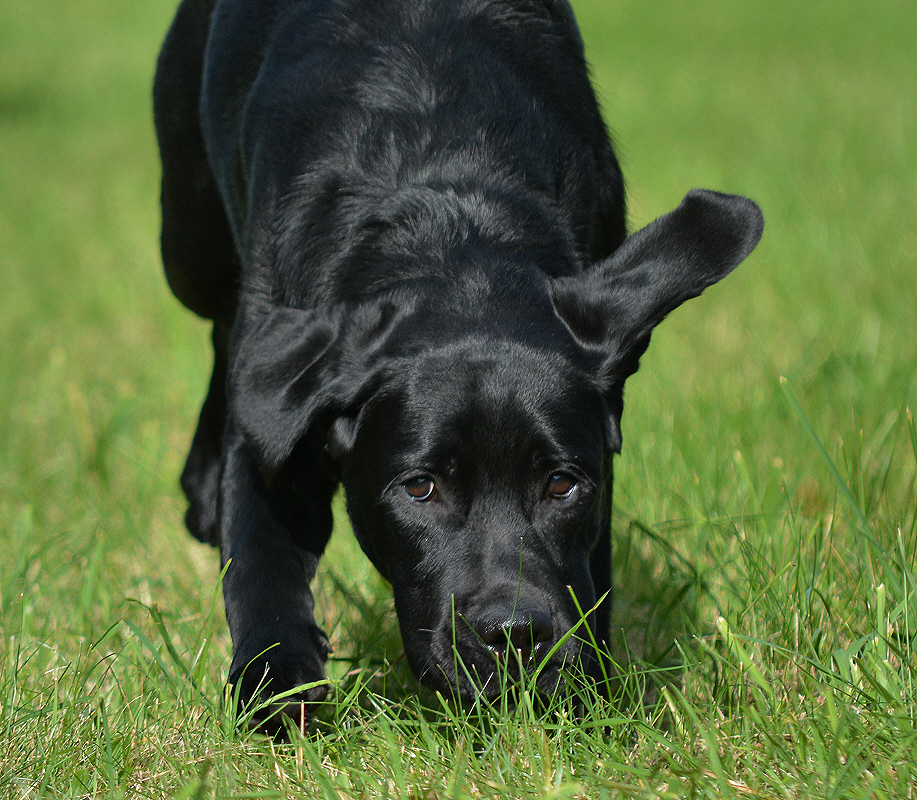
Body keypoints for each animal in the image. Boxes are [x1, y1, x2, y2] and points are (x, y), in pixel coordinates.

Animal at [154, 0, 764, 728]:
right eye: (420, 488)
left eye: (562, 484)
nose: (514, 636)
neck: (446, 222)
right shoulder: (283, 407)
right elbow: (259, 563)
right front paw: (277, 690)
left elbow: (592, 578)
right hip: (189, 246)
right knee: (225, 339)